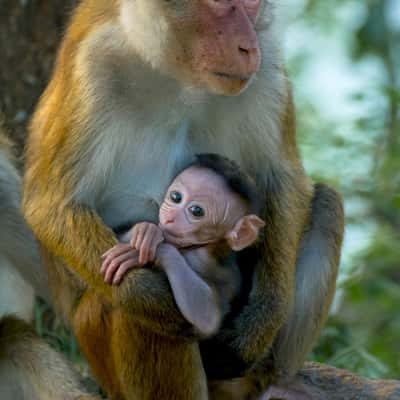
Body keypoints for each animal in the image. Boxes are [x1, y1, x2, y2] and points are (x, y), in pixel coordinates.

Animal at [100, 155, 264, 336]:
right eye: (176, 197)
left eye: (196, 211)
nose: (170, 217)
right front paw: (146, 231)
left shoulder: (206, 261)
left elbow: (208, 317)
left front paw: (153, 250)